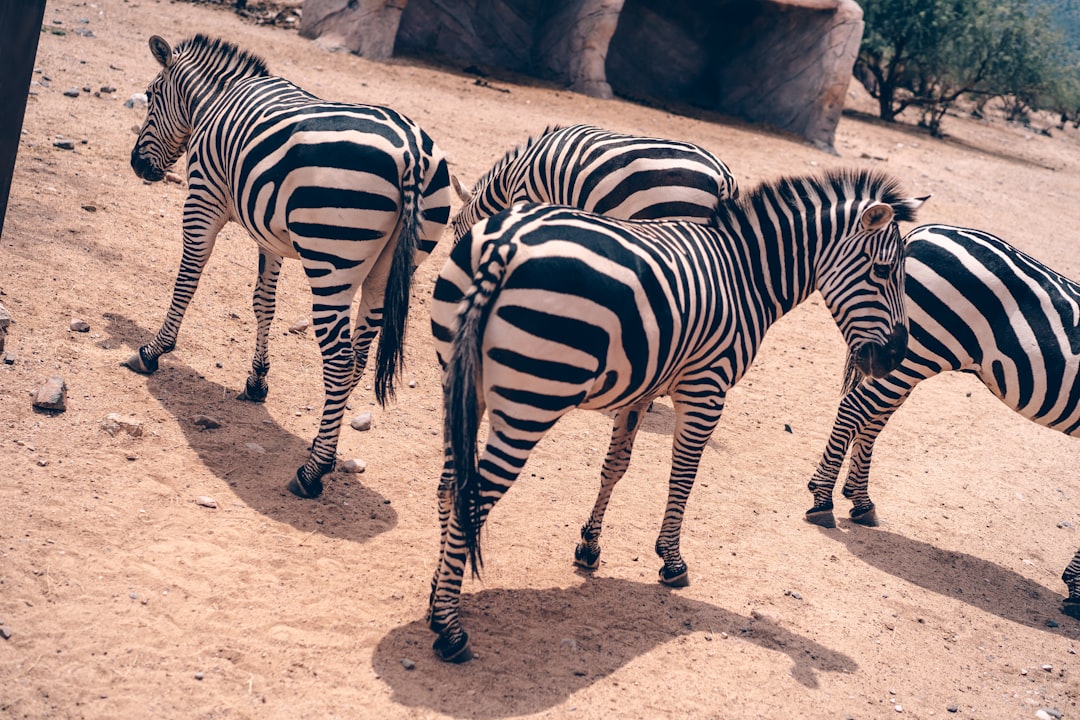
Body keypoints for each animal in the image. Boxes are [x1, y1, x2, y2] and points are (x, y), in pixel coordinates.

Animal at [126, 35, 451, 500]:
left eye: (151, 95)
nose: (137, 165)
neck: (215, 99)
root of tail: (411, 153)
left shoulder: (202, 199)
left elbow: (187, 279)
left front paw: (153, 351)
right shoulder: (268, 231)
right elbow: (263, 302)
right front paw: (256, 381)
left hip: (333, 263)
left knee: (339, 360)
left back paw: (312, 472)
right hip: (388, 270)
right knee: (357, 357)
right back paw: (322, 447)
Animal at [425, 170, 924, 664]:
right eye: (884, 272)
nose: (896, 357)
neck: (746, 277)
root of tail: (504, 245)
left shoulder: (642, 387)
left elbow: (614, 467)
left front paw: (589, 546)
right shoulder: (706, 389)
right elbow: (682, 476)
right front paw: (671, 560)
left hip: (461, 379)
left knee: (449, 485)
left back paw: (436, 598)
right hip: (532, 399)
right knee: (472, 492)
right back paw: (450, 630)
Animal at [799, 223, 1080, 621]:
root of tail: (919, 234)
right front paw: (1078, 590)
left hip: (908, 355)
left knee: (873, 417)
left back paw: (860, 501)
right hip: (918, 349)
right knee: (857, 408)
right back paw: (823, 499)